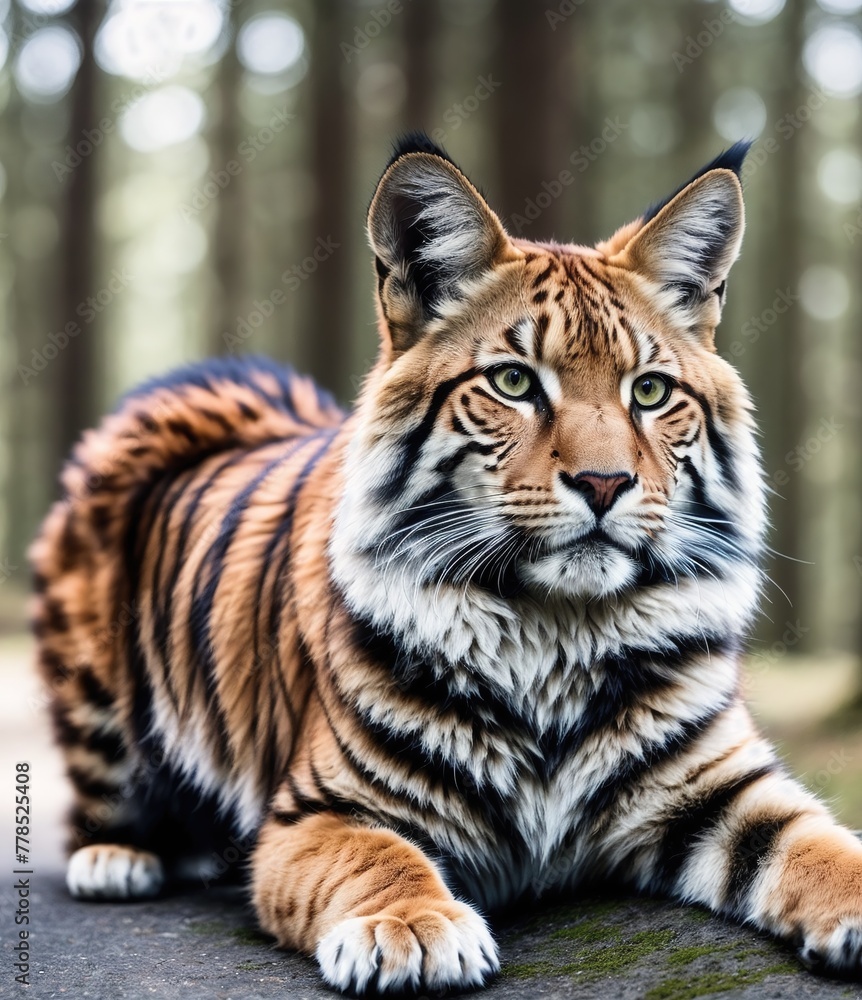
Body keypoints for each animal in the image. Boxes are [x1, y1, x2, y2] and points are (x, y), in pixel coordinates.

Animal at [30, 132, 862, 996]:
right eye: (514, 381)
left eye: (651, 391)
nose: (605, 483)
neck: (558, 629)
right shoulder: (321, 809)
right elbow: (378, 858)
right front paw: (412, 929)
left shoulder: (721, 783)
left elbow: (824, 847)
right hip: (94, 701)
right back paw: (119, 858)